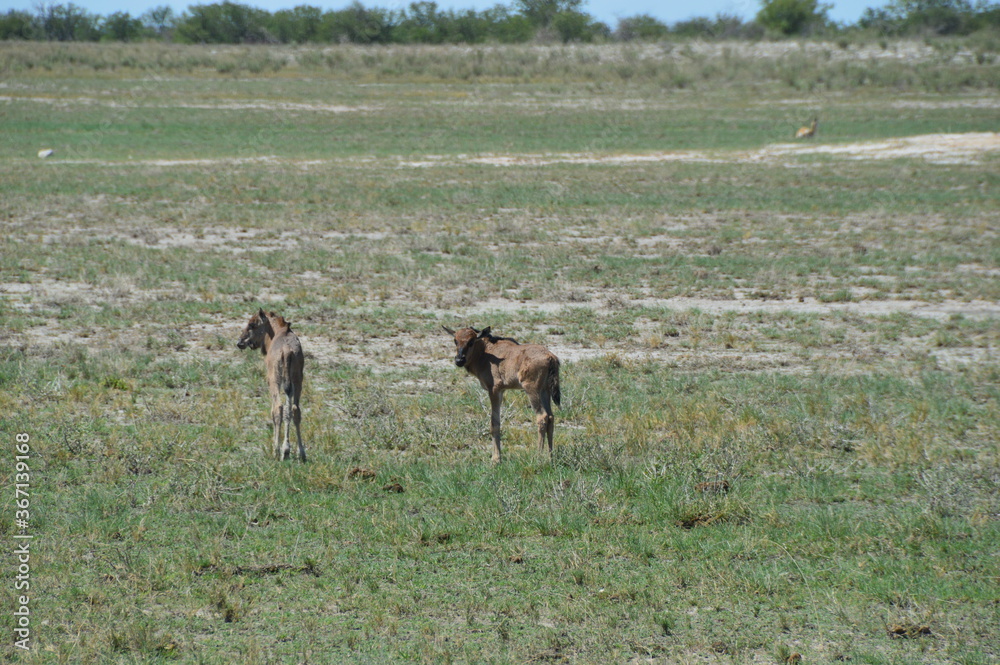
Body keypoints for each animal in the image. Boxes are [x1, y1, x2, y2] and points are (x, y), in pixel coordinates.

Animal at [237, 308, 304, 460]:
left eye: (252, 324)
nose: (240, 342)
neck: (279, 331)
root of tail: (287, 350)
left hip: (275, 381)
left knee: (278, 408)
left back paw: (279, 451)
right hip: (297, 381)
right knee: (295, 409)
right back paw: (301, 453)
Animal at [442, 326, 560, 462]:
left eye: (471, 341)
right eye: (455, 341)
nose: (459, 360)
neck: (485, 352)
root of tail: (550, 357)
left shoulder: (494, 389)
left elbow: (494, 423)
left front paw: (496, 459)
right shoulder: (502, 391)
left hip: (532, 390)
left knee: (542, 417)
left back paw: (538, 456)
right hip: (545, 391)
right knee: (551, 417)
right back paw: (550, 456)